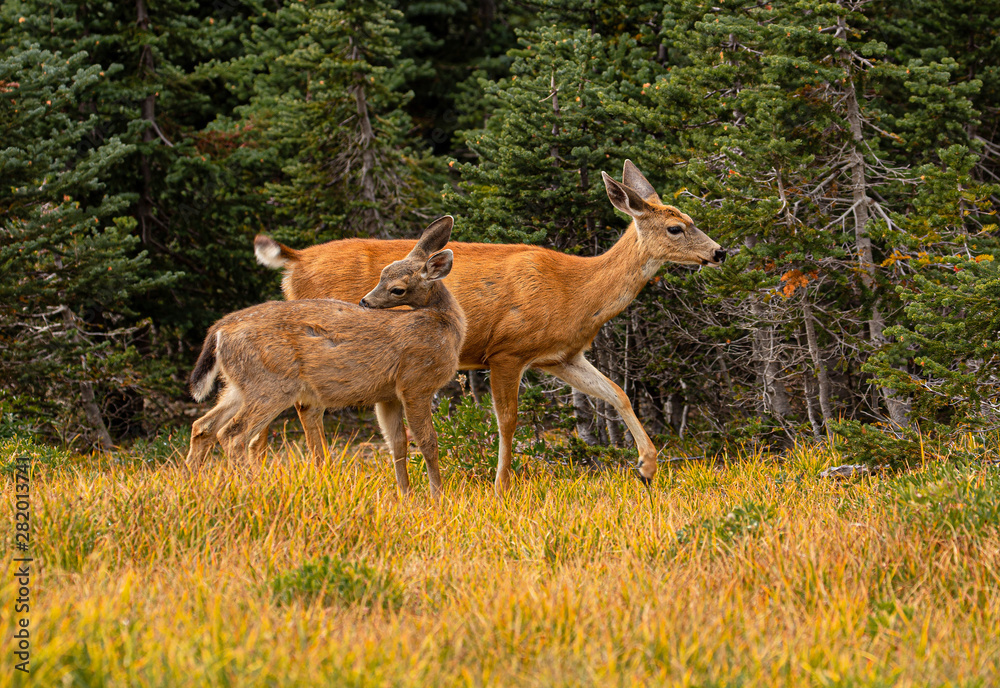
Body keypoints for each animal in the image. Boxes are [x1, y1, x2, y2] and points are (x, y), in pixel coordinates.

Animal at [186, 216, 466, 498]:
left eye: (397, 288)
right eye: (382, 276)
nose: (365, 301)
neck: (445, 324)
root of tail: (219, 330)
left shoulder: (388, 395)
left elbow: (397, 443)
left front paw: (405, 495)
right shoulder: (416, 382)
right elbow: (427, 442)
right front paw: (437, 496)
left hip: (239, 385)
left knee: (203, 426)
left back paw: (194, 484)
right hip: (270, 384)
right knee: (233, 434)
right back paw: (254, 486)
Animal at [254, 161, 726, 494]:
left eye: (691, 218)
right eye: (676, 227)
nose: (719, 252)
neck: (576, 291)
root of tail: (295, 262)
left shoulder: (561, 356)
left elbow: (617, 393)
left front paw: (647, 467)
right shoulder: (507, 350)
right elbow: (508, 420)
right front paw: (501, 486)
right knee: (305, 407)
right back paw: (320, 474)